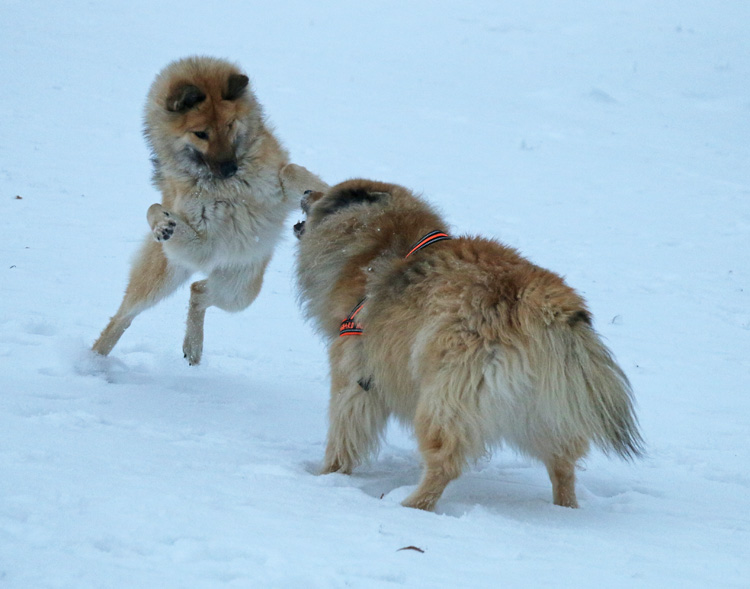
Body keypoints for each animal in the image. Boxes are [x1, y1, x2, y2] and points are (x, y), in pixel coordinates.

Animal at [92, 58, 296, 362]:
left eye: (229, 125)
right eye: (201, 134)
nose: (230, 168)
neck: (224, 186)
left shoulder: (277, 187)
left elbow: (298, 179)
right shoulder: (201, 240)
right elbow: (154, 207)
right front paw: (162, 223)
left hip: (240, 289)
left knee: (197, 290)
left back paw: (193, 347)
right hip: (165, 276)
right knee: (124, 316)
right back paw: (93, 359)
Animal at [284, 165, 648, 510]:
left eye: (328, 192)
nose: (306, 192)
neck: (377, 246)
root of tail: (537, 299)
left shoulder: (354, 375)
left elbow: (343, 435)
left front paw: (327, 477)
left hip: (447, 397)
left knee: (445, 461)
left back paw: (412, 505)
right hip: (544, 408)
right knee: (563, 464)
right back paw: (565, 509)